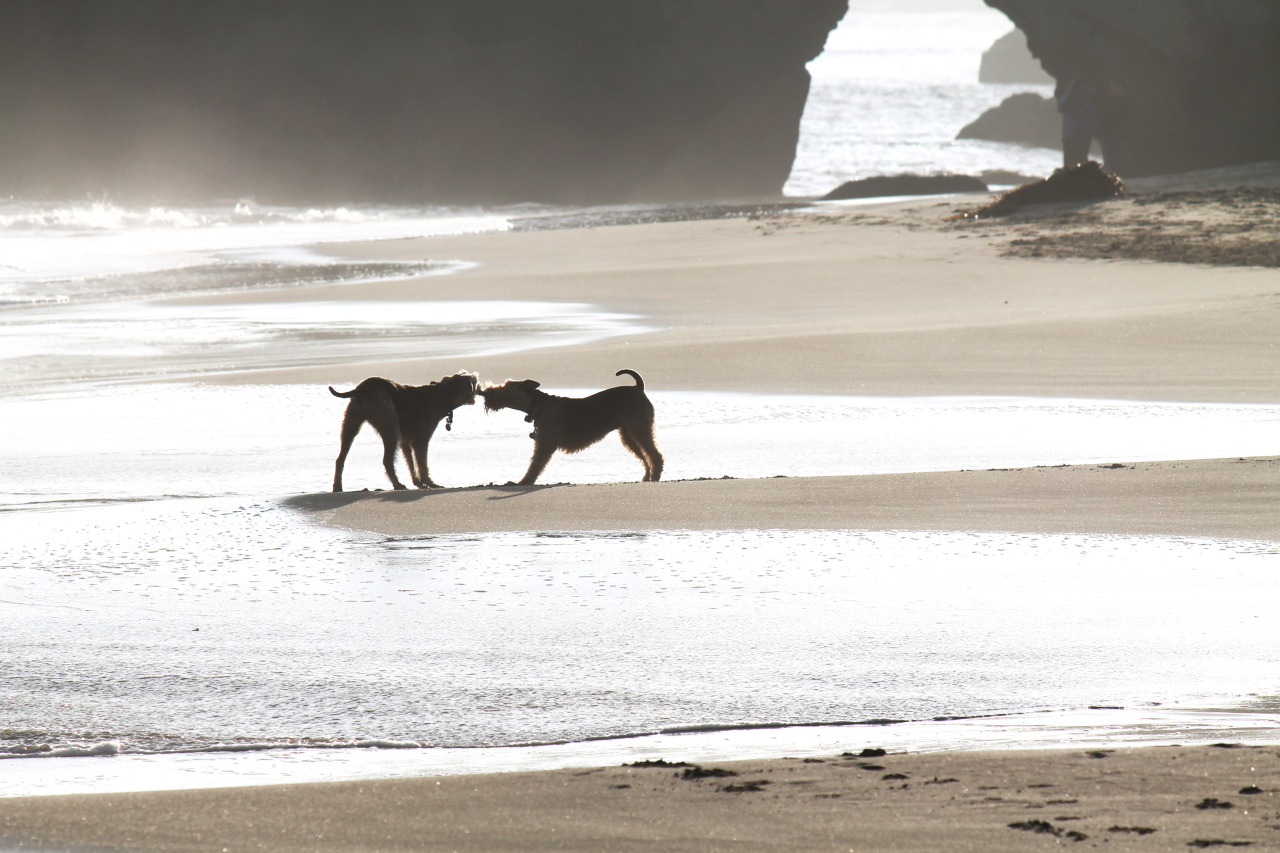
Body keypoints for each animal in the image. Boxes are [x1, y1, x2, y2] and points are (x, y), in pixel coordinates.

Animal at [327, 371, 478, 491]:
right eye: (474, 381)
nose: (480, 384)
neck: (443, 393)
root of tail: (362, 388)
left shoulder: (405, 441)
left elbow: (411, 463)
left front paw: (419, 483)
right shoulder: (421, 439)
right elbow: (422, 464)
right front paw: (430, 483)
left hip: (350, 425)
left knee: (340, 459)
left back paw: (337, 487)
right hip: (389, 426)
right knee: (387, 460)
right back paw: (397, 484)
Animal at [478, 366, 660, 484]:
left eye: (506, 386)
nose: (486, 391)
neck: (538, 404)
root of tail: (638, 388)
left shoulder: (545, 444)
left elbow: (535, 466)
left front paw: (523, 482)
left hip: (639, 428)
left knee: (655, 455)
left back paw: (656, 476)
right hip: (628, 433)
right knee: (645, 456)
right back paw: (647, 478)